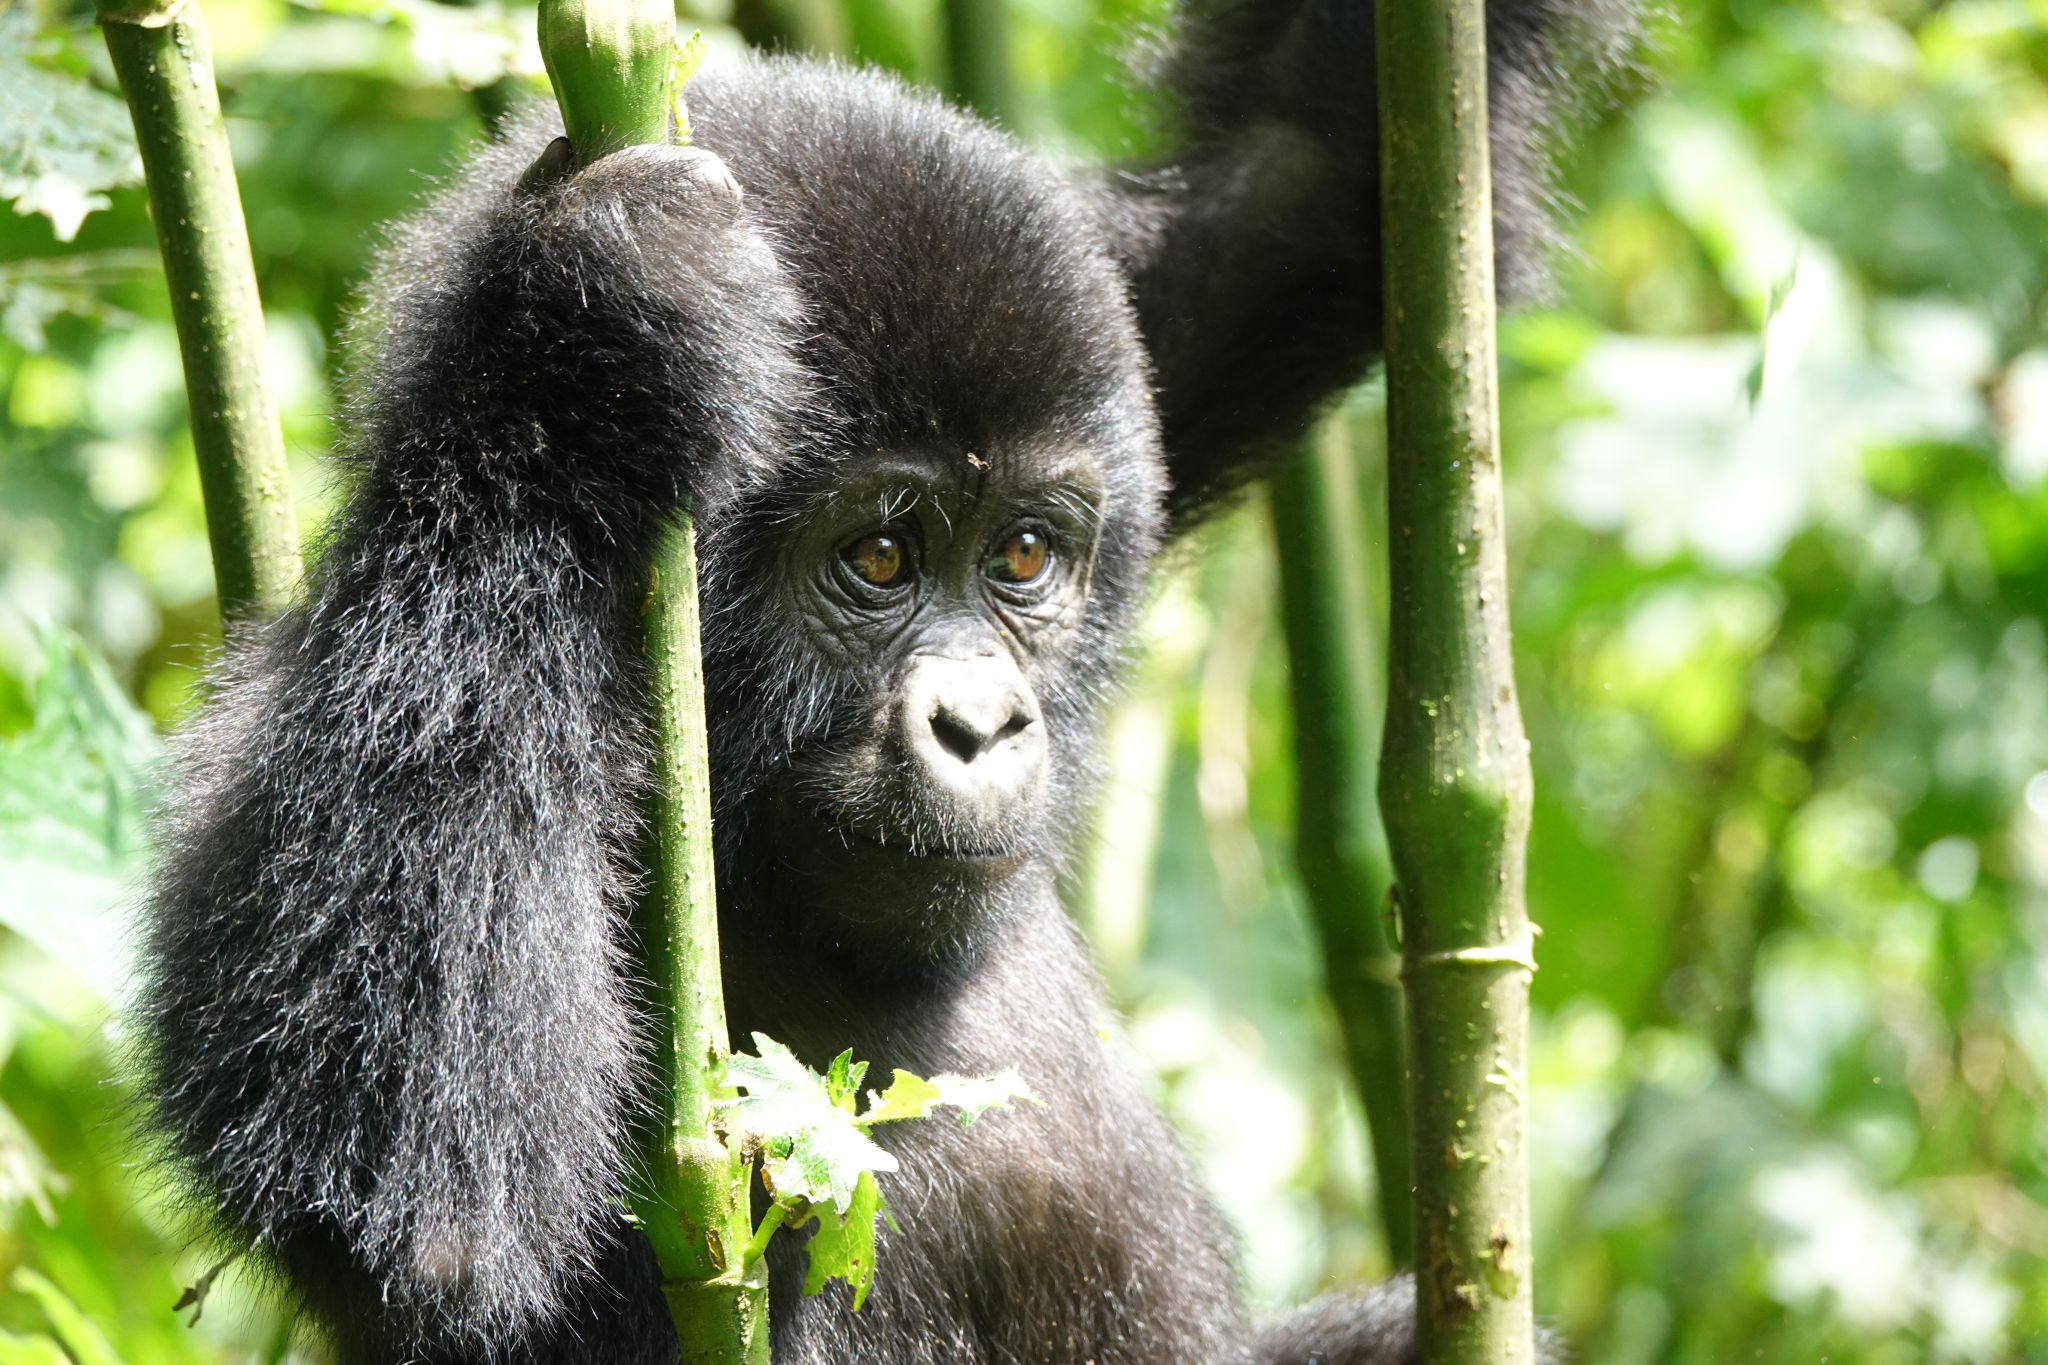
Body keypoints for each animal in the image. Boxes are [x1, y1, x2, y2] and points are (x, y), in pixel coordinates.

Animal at [136, 0, 1622, 1358]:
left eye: (1023, 552)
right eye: (879, 557)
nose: (983, 722)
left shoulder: (1137, 317)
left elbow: (1306, 175)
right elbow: (417, 1196)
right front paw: (590, 346)